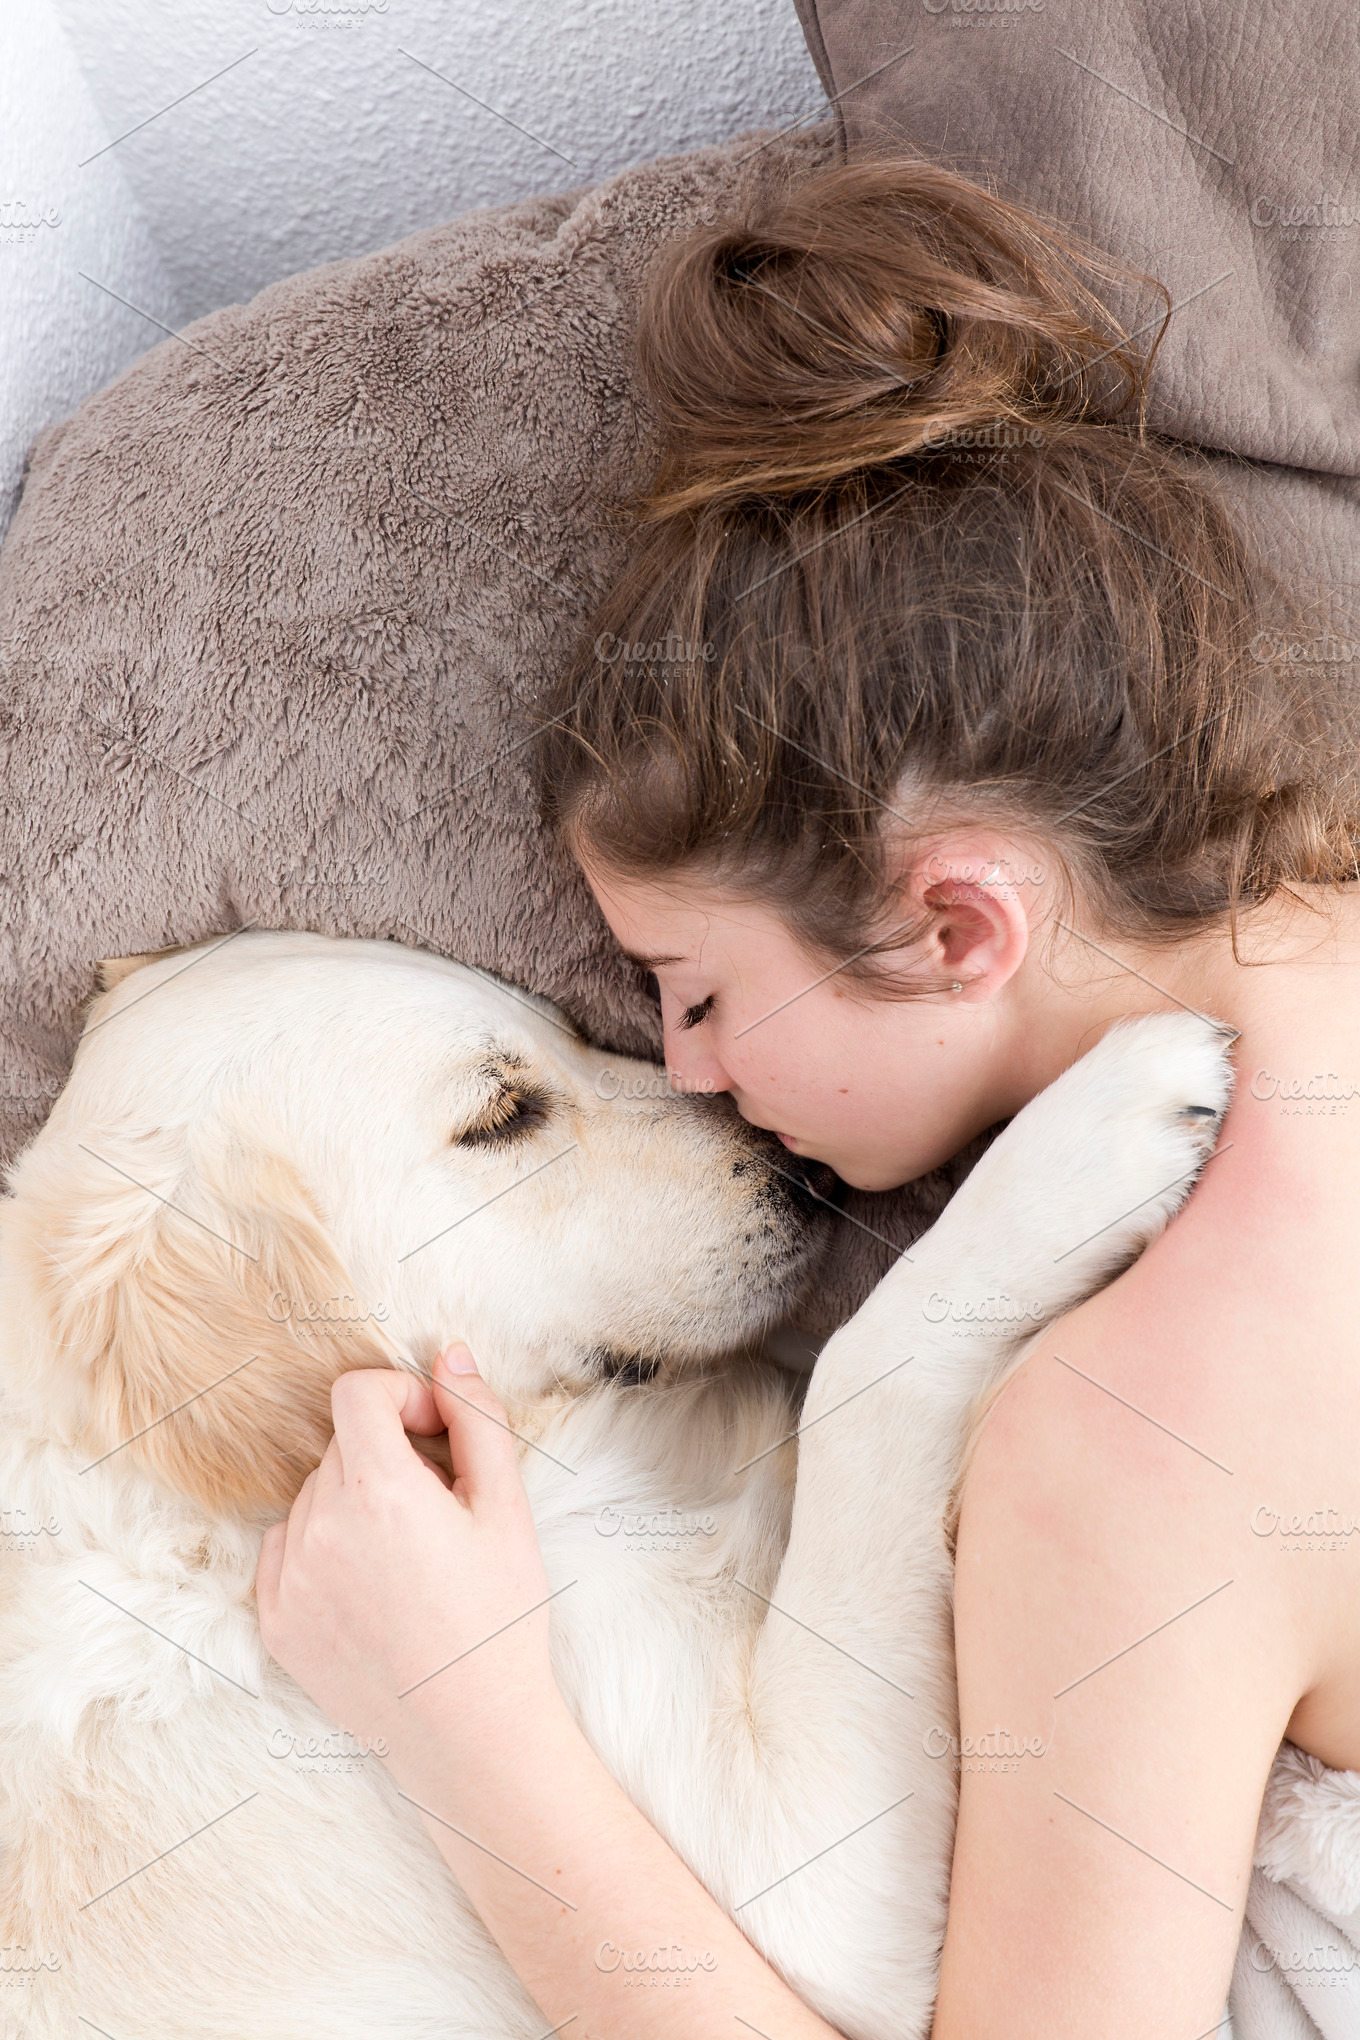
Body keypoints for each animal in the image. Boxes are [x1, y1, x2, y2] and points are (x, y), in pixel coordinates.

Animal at [0, 934, 1231, 2031]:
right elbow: (860, 1367)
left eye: (567, 1027)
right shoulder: (799, 1889)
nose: (804, 1172)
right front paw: (1090, 1136)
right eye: (501, 1118)